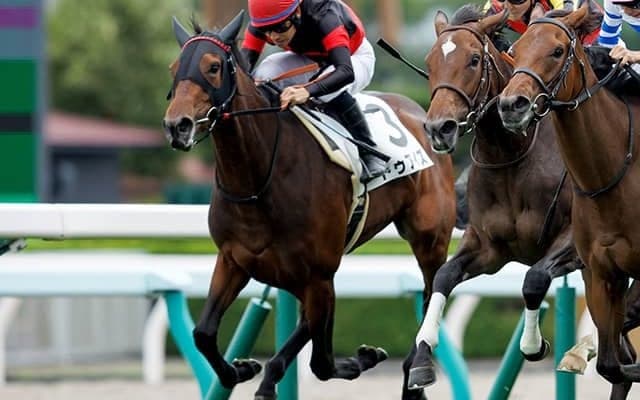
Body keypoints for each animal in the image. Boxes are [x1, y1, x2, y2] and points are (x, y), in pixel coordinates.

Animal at [162, 11, 456, 400]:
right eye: (173, 67)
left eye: (212, 67)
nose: (176, 126)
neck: (258, 182)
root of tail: (420, 112)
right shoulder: (234, 260)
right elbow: (204, 333)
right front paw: (242, 369)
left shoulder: (318, 274)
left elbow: (323, 363)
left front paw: (365, 358)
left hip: (428, 238)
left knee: (429, 292)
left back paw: (413, 370)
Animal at [399, 6, 588, 392]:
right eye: (430, 60)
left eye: (474, 60)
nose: (438, 128)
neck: (511, 156)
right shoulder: (488, 247)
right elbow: (443, 276)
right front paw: (423, 359)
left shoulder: (573, 241)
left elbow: (534, 278)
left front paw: (533, 344)